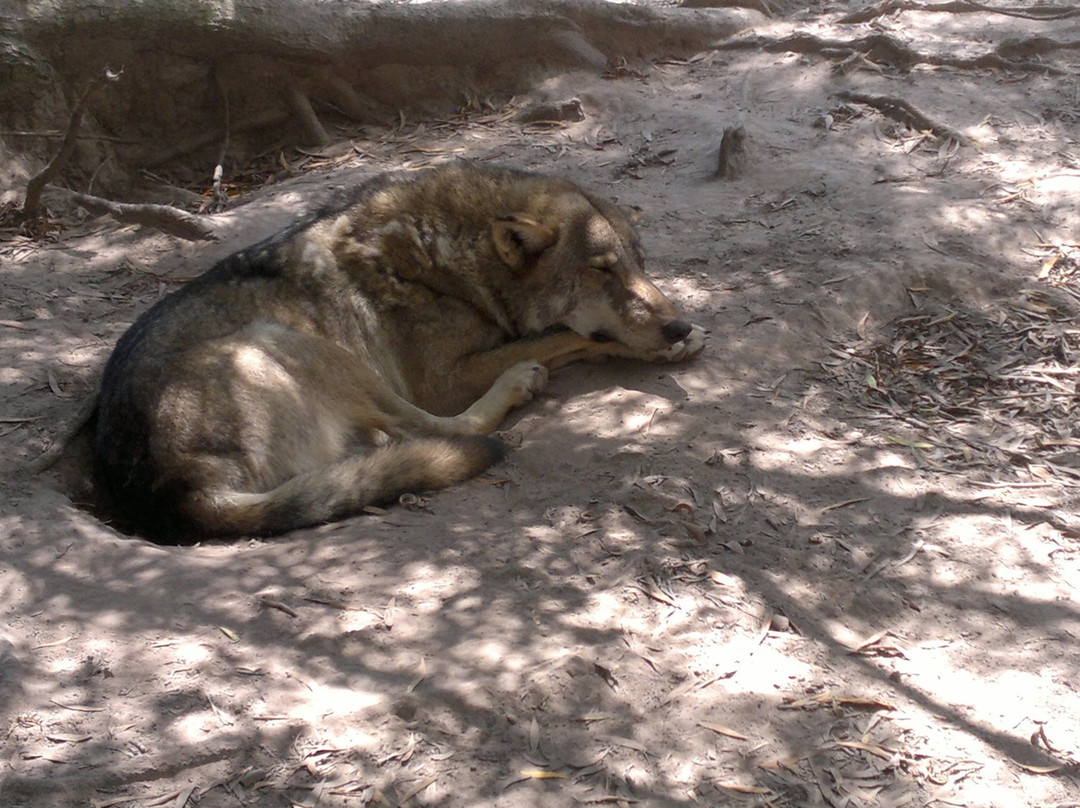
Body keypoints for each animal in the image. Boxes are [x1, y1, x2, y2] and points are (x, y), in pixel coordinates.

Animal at [93, 161, 705, 541]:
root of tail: (181, 490)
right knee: (435, 429)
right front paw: (660, 347)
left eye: (639, 263)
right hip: (295, 343)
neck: (456, 257)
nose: (677, 325)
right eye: (602, 271)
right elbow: (566, 336)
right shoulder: (443, 378)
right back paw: (516, 386)